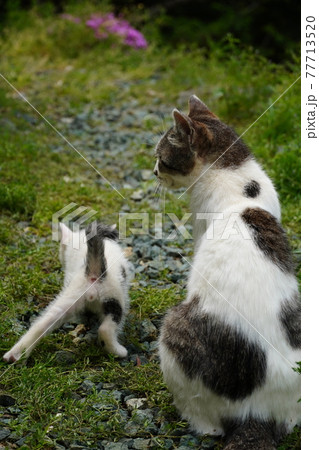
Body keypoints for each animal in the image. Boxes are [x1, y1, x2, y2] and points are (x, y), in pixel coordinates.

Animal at [2, 221, 130, 362]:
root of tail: (93, 274)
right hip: (115, 298)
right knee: (106, 328)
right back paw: (118, 351)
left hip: (70, 297)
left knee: (40, 324)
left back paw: (15, 355)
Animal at [154, 96, 302, 450]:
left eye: (161, 159)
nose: (153, 172)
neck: (236, 177)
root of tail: (256, 414)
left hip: (172, 333)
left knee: (206, 424)